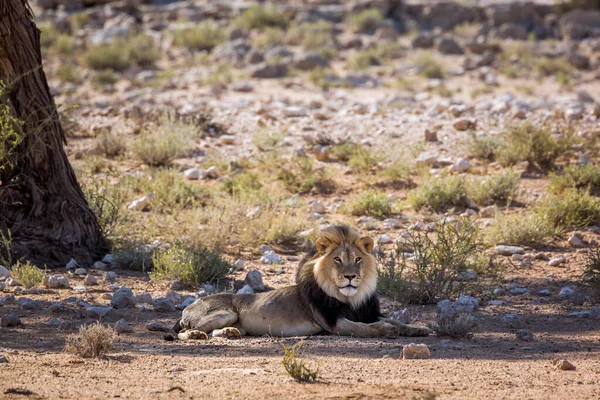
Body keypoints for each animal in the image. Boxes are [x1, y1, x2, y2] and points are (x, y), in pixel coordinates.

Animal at [171, 223, 428, 340]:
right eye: (337, 259)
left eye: (357, 259)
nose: (350, 276)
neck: (351, 296)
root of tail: (189, 306)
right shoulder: (334, 323)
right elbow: (363, 328)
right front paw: (384, 330)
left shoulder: (368, 313)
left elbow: (396, 320)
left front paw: (419, 328)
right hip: (225, 312)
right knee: (182, 332)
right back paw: (195, 335)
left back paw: (230, 333)